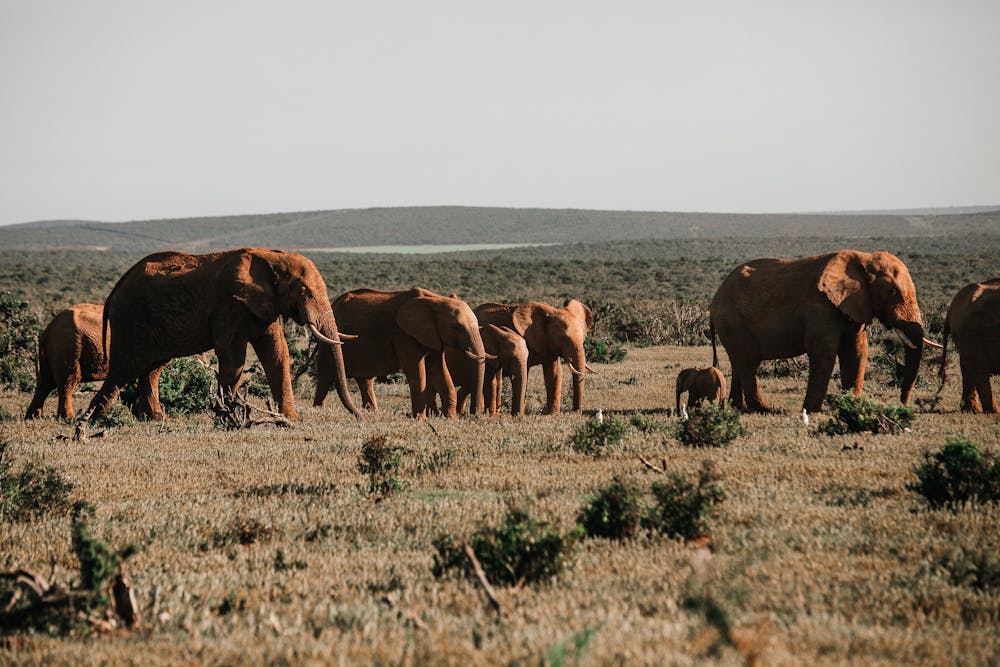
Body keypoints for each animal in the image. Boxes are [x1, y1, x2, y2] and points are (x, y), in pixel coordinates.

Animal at [77, 248, 360, 430]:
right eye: (304, 291)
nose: (359, 416)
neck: (273, 257)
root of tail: (116, 288)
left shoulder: (264, 304)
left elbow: (277, 353)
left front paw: (292, 419)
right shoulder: (229, 302)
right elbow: (233, 355)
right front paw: (228, 418)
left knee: (152, 368)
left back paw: (155, 419)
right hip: (130, 318)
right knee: (125, 369)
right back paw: (93, 420)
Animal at [310, 288, 486, 418]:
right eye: (456, 327)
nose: (475, 413)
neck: (436, 300)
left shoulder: (434, 336)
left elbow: (439, 371)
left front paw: (450, 418)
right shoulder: (403, 333)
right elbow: (416, 372)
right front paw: (420, 419)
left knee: (365, 380)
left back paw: (373, 412)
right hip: (328, 339)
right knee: (325, 375)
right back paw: (319, 409)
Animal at [712, 250, 936, 412]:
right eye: (892, 291)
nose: (902, 405)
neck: (864, 258)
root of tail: (715, 299)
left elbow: (856, 350)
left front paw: (851, 406)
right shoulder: (820, 306)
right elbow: (824, 352)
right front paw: (811, 411)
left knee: (742, 363)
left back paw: (738, 408)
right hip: (733, 323)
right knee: (747, 363)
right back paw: (764, 409)